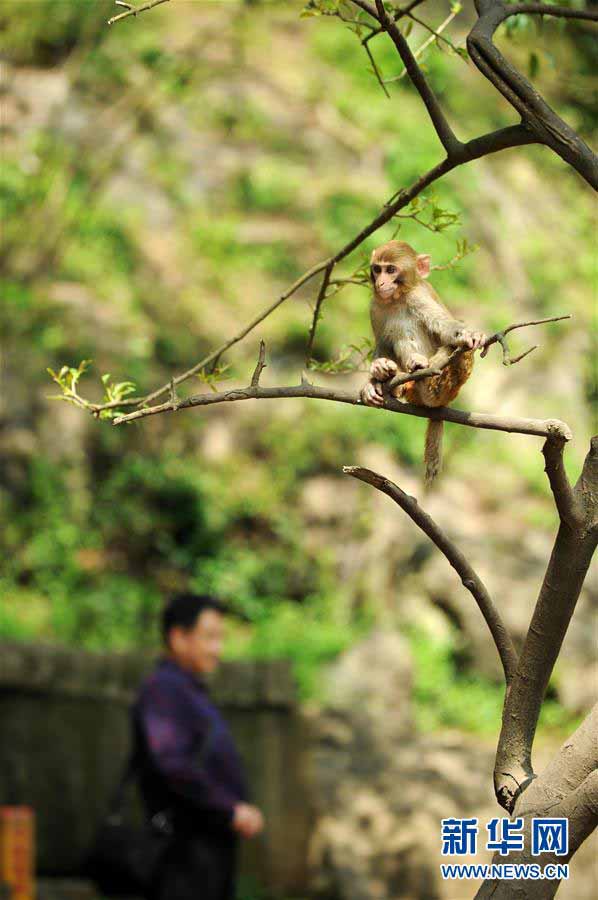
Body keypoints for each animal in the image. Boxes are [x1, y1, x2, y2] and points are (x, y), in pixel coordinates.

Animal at [360, 241, 488, 486]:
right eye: (377, 269)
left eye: (391, 270)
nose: (380, 283)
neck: (398, 298)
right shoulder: (374, 306)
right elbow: (382, 343)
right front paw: (375, 376)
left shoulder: (419, 297)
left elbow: (447, 329)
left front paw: (469, 335)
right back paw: (394, 381)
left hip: (450, 384)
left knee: (456, 351)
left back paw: (422, 368)